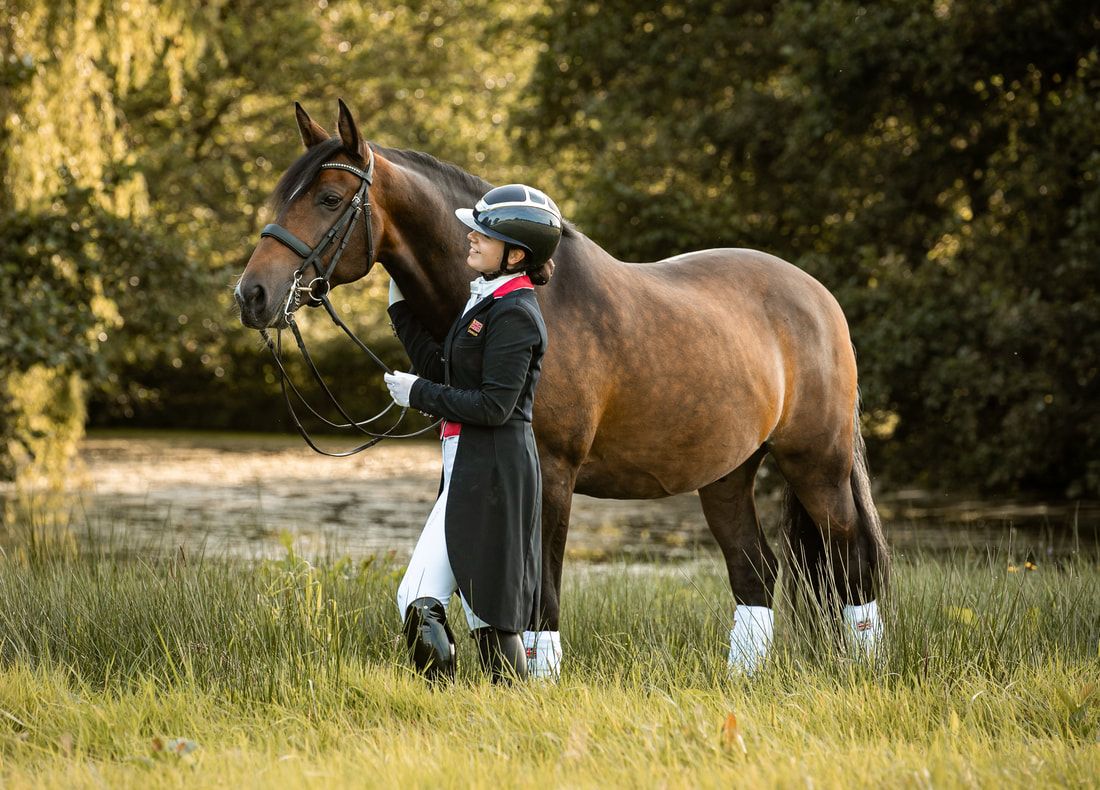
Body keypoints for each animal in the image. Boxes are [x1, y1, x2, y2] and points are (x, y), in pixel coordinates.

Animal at [235, 100, 890, 671]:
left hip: (817, 465)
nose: (252, 295)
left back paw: (863, 668)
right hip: (727, 473)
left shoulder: (550, 472)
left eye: (328, 198)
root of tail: (817, 295)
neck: (532, 292)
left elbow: (539, 593)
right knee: (755, 571)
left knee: (852, 562)